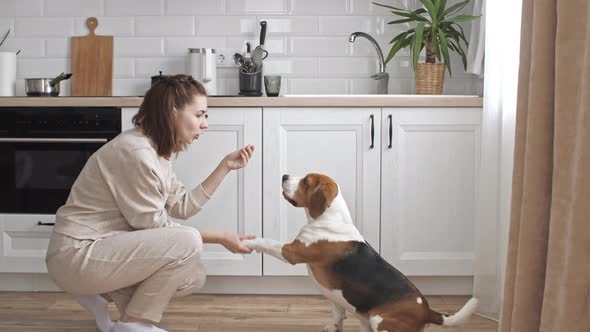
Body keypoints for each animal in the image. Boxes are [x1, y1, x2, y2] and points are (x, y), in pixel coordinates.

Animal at [243, 174, 478, 332]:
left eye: (306, 182)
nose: (284, 176)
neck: (331, 219)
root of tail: (427, 310)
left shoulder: (291, 251)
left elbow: (268, 241)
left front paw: (249, 241)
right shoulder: (336, 299)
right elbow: (338, 316)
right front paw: (334, 327)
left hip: (379, 320)